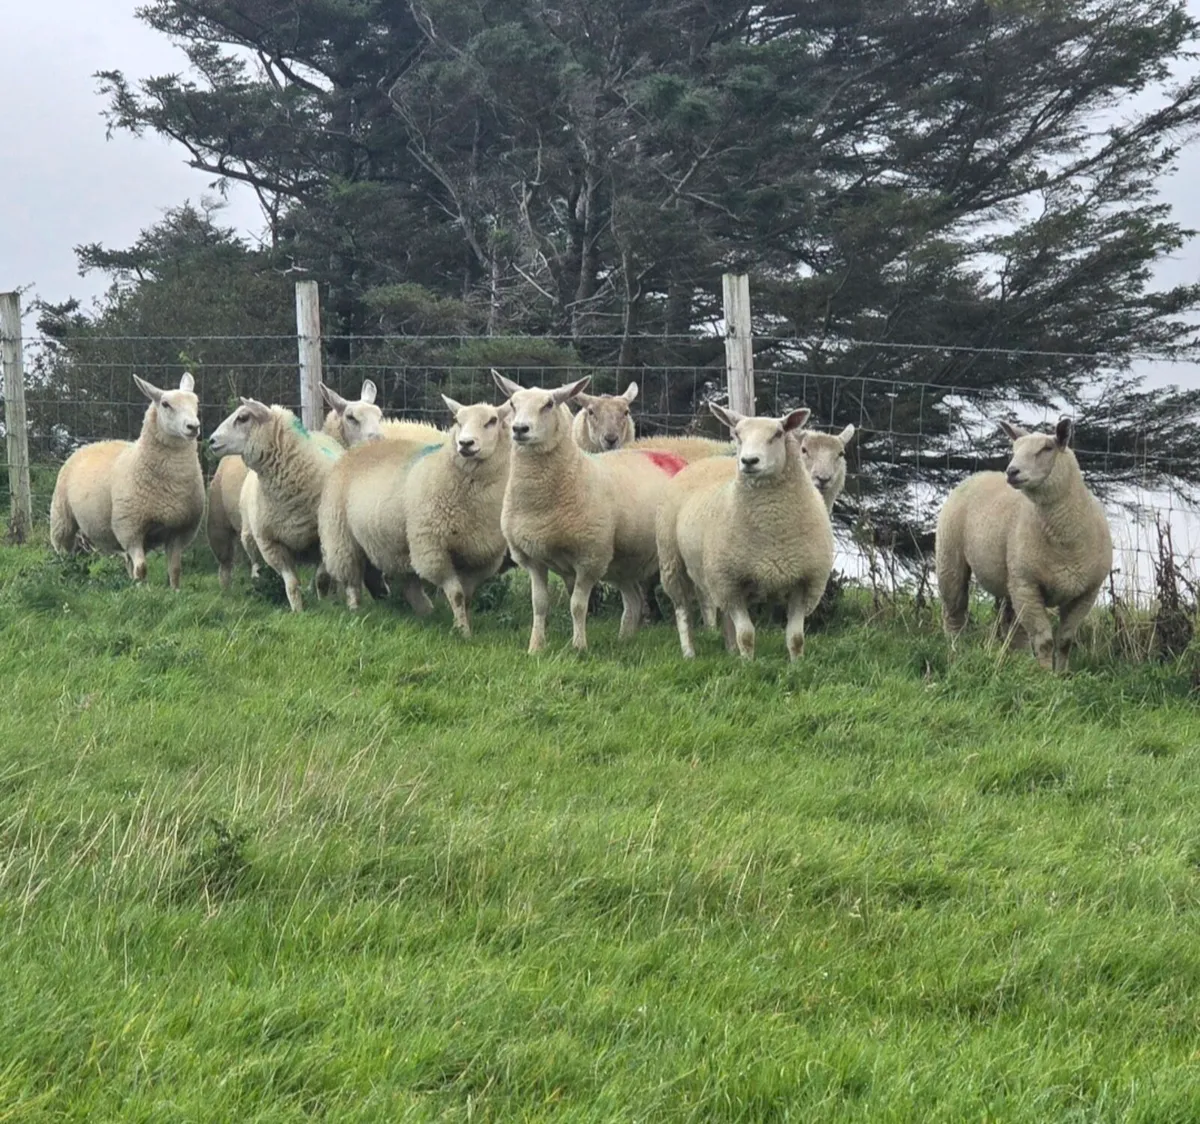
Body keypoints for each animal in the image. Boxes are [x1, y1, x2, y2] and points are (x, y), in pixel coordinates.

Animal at [50, 373, 204, 590]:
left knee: (127, 562)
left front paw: (174, 591)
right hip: (62, 519)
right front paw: (141, 591)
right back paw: (63, 576)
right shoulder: (130, 528)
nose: (193, 427)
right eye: (165, 404)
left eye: (196, 402)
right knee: (63, 553)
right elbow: (142, 568)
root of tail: (93, 443)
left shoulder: (179, 530)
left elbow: (175, 569)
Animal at [209, 399, 344, 611]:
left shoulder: (324, 538)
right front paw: (298, 611)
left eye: (243, 418)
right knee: (250, 565)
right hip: (245, 534)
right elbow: (292, 584)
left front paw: (325, 604)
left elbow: (322, 578)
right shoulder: (270, 543)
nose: (211, 441)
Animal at [492, 371, 688, 653]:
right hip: (623, 560)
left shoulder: (589, 557)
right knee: (633, 600)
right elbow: (539, 605)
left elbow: (577, 605)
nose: (520, 429)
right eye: (512, 404)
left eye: (549, 404)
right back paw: (624, 640)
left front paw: (578, 647)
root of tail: (675, 458)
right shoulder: (533, 559)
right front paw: (536, 647)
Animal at [656, 405, 834, 660]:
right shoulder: (730, 582)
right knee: (682, 610)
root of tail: (707, 460)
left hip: (712, 573)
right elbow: (747, 635)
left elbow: (796, 638)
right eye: (737, 434)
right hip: (672, 560)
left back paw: (731, 651)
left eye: (778, 434)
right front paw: (748, 663)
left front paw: (797, 663)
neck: (772, 526)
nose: (749, 461)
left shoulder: (804, 581)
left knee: (724, 617)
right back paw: (689, 652)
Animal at [936, 416, 1112, 671]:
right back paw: (955, 651)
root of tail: (980, 474)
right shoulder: (1027, 584)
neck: (1065, 542)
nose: (1012, 471)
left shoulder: (1086, 592)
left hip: (1011, 581)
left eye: (1047, 448)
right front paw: (1045, 675)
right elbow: (1045, 641)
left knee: (1012, 627)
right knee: (954, 611)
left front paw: (1062, 674)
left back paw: (1017, 663)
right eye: (1014, 449)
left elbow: (1065, 641)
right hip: (951, 558)